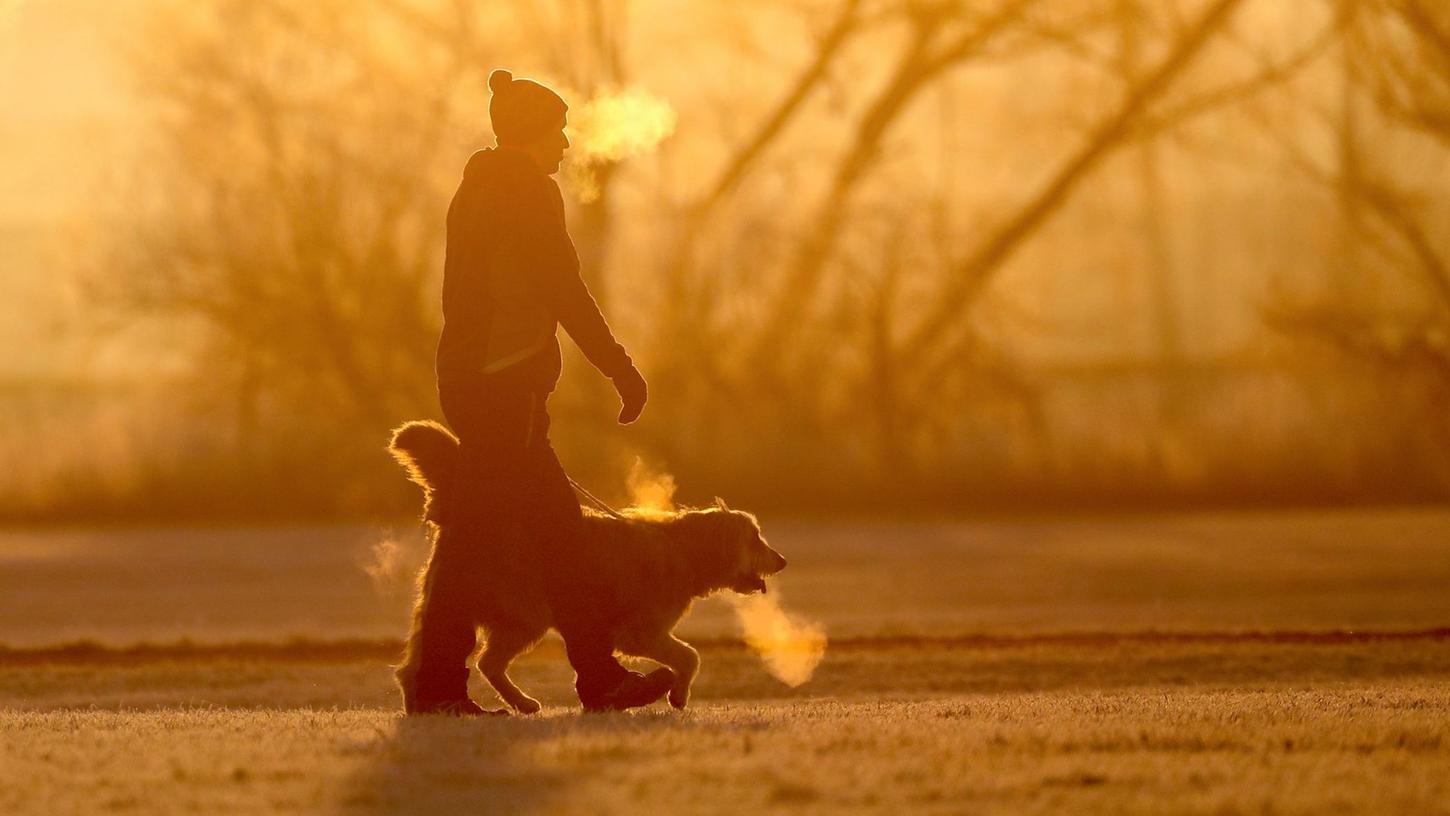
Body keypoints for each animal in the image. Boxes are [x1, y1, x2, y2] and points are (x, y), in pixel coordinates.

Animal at [391, 426, 788, 713]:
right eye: (755, 537)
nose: (782, 561)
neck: (684, 551)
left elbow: (687, 655)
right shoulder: (639, 633)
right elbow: (690, 656)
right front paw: (677, 695)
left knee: (427, 665)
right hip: (527, 613)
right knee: (484, 662)